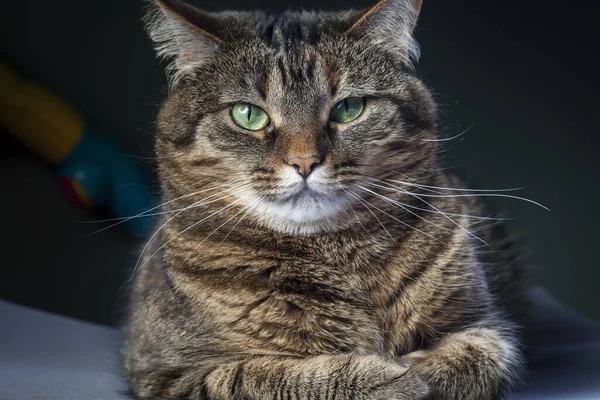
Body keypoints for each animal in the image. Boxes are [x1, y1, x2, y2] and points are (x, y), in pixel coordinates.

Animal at [124, 0, 528, 398]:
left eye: (349, 108)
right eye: (248, 114)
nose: (305, 161)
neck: (334, 256)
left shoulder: (487, 326)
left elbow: (474, 359)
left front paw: (416, 370)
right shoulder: (166, 376)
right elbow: (254, 377)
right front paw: (386, 376)